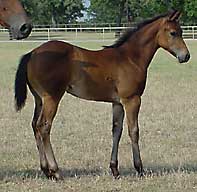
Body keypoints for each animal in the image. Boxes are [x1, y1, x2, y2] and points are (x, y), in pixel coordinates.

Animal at [14, 9, 190, 179]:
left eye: (181, 31)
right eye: (173, 33)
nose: (186, 56)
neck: (130, 58)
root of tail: (32, 53)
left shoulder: (117, 102)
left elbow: (116, 131)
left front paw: (115, 170)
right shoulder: (132, 100)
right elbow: (134, 131)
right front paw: (139, 169)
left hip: (39, 99)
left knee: (35, 125)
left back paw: (46, 170)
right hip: (52, 98)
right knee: (44, 126)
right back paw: (55, 171)